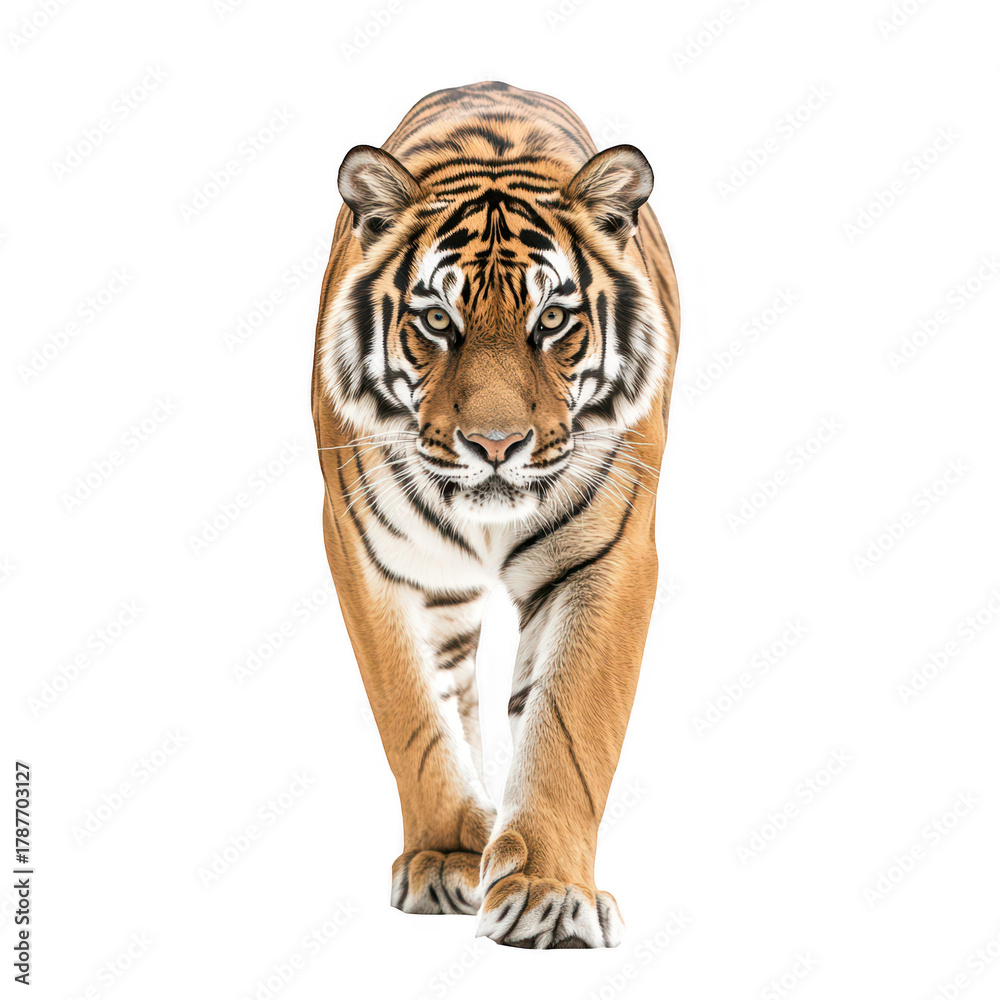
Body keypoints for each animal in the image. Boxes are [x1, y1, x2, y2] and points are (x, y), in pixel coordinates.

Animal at [311, 81, 679, 950]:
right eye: (437, 322)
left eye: (552, 322)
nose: (496, 444)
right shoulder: (371, 554)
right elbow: (413, 715)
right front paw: (447, 856)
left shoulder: (609, 554)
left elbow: (570, 724)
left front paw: (549, 892)